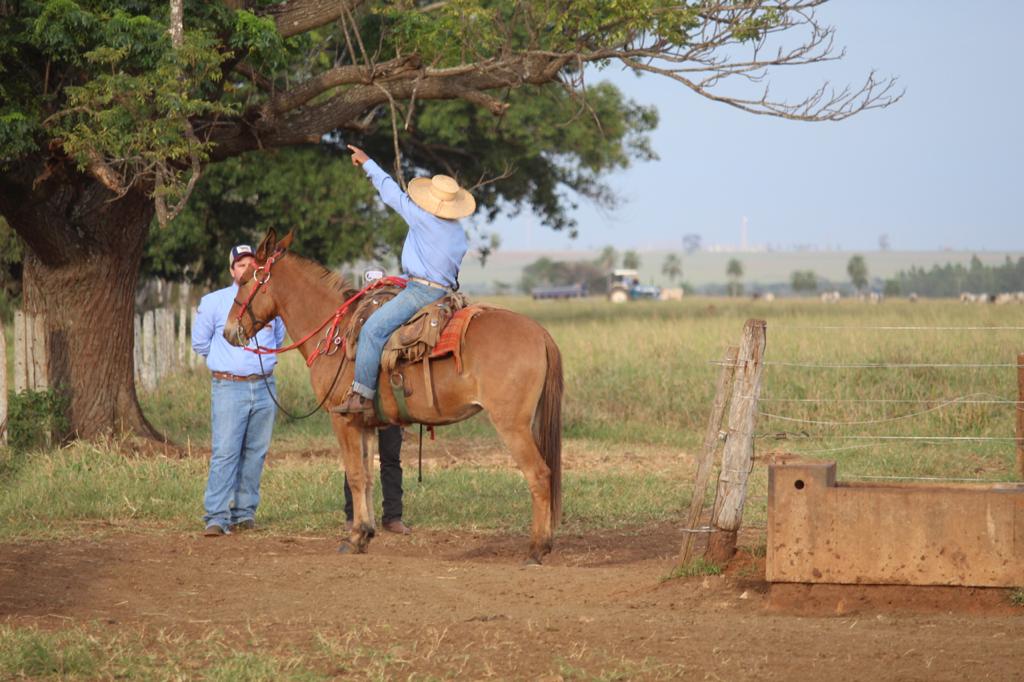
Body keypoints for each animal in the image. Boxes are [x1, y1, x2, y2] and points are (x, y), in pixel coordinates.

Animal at [220, 231, 565, 561]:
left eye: (246, 279)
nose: (229, 331)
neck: (336, 334)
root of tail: (541, 333)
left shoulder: (342, 419)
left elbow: (355, 476)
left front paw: (354, 538)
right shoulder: (366, 424)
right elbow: (368, 478)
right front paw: (364, 534)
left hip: (512, 425)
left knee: (539, 475)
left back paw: (537, 549)